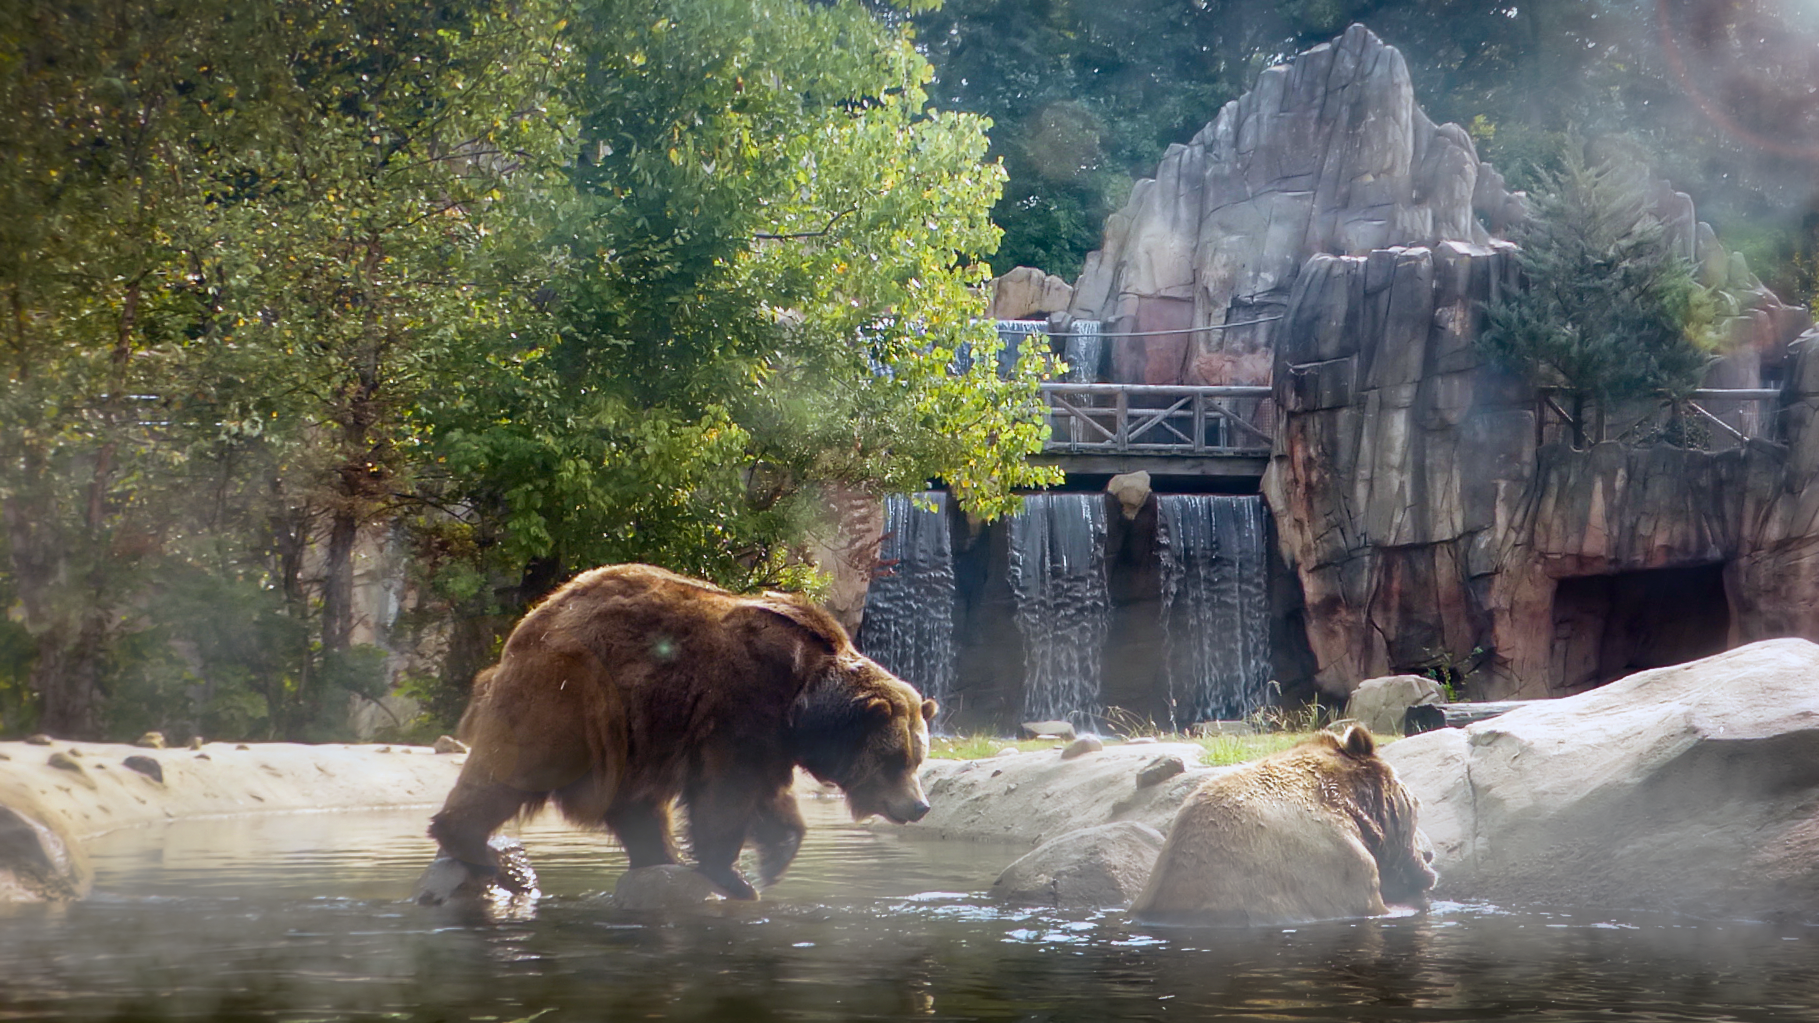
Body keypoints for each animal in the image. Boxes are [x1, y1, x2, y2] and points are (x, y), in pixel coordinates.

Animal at [416, 563, 938, 903]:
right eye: (896, 759)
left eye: (917, 758)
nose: (919, 806)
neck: (804, 703)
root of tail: (535, 616)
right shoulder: (743, 705)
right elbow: (726, 793)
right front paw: (734, 875)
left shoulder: (772, 740)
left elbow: (769, 798)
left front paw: (772, 855)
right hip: (570, 694)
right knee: (515, 767)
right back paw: (475, 848)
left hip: (629, 733)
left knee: (636, 804)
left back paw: (659, 857)